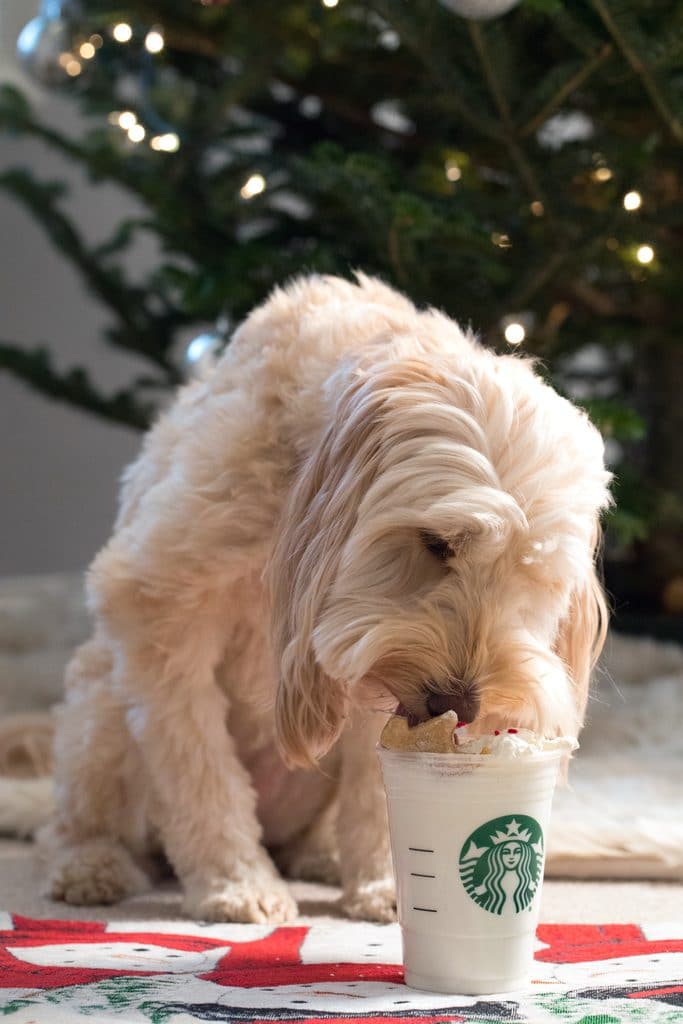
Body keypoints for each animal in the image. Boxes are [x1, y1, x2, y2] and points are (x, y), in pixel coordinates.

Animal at [40, 270, 610, 921]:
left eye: (537, 578)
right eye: (437, 542)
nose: (460, 704)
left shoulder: (376, 672)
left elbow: (375, 788)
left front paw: (384, 883)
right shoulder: (159, 608)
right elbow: (198, 768)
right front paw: (238, 883)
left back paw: (320, 858)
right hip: (100, 712)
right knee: (67, 825)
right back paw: (93, 864)